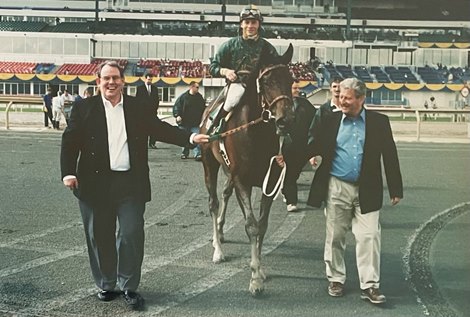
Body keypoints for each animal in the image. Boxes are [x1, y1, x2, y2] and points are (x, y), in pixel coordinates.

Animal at [200, 43, 296, 294]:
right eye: (266, 81)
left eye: (291, 79)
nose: (286, 120)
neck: (255, 131)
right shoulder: (242, 179)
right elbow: (251, 225)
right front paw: (254, 279)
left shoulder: (267, 181)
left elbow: (261, 226)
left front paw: (259, 269)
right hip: (210, 165)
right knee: (213, 203)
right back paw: (218, 249)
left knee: (225, 194)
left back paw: (221, 230)